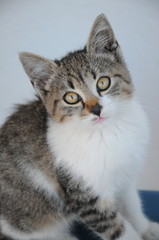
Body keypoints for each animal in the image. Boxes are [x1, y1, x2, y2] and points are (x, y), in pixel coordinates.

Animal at [0, 13, 159, 240]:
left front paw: (146, 229)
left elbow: (132, 205)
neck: (105, 133)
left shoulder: (126, 177)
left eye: (103, 82)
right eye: (71, 97)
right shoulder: (84, 196)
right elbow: (118, 229)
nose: (96, 109)